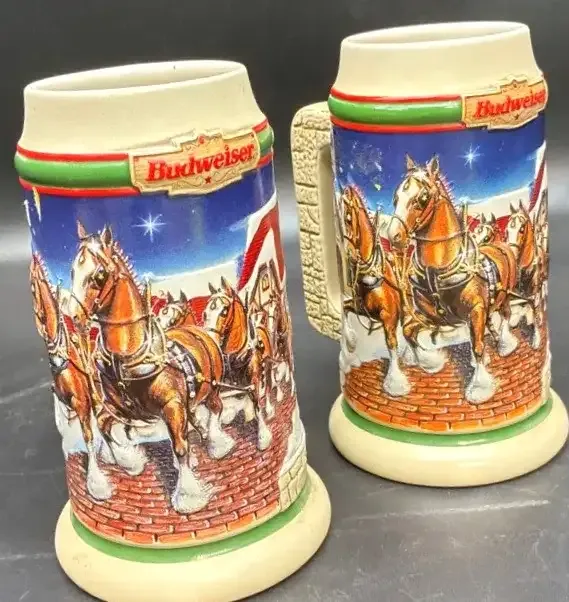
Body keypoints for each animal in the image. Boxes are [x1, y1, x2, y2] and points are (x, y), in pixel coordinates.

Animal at [29, 253, 111, 499]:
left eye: (36, 287)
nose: (40, 324)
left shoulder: (82, 403)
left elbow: (88, 435)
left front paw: (97, 483)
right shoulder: (67, 403)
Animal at [67, 222, 235, 513]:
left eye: (99, 275)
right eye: (73, 271)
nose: (72, 315)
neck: (128, 358)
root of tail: (200, 333)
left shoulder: (173, 406)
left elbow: (180, 447)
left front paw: (188, 496)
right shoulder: (117, 407)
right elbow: (103, 425)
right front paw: (127, 462)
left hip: (211, 387)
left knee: (215, 407)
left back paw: (216, 443)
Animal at [203, 277, 274, 449]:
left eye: (224, 311)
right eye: (205, 313)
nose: (209, 340)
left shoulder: (254, 379)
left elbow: (256, 403)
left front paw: (263, 437)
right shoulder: (230, 382)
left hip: (268, 365)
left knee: (269, 384)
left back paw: (269, 409)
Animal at [338, 185, 410, 396]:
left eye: (348, 218)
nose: (349, 255)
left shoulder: (389, 315)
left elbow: (391, 343)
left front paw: (395, 382)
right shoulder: (361, 307)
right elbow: (345, 308)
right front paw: (351, 343)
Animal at [387, 154, 518, 404]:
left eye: (423, 197)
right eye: (396, 196)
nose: (393, 236)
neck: (436, 271)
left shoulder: (476, 310)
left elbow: (478, 346)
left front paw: (479, 387)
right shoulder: (426, 315)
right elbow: (408, 332)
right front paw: (429, 362)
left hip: (503, 296)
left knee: (505, 315)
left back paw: (505, 344)